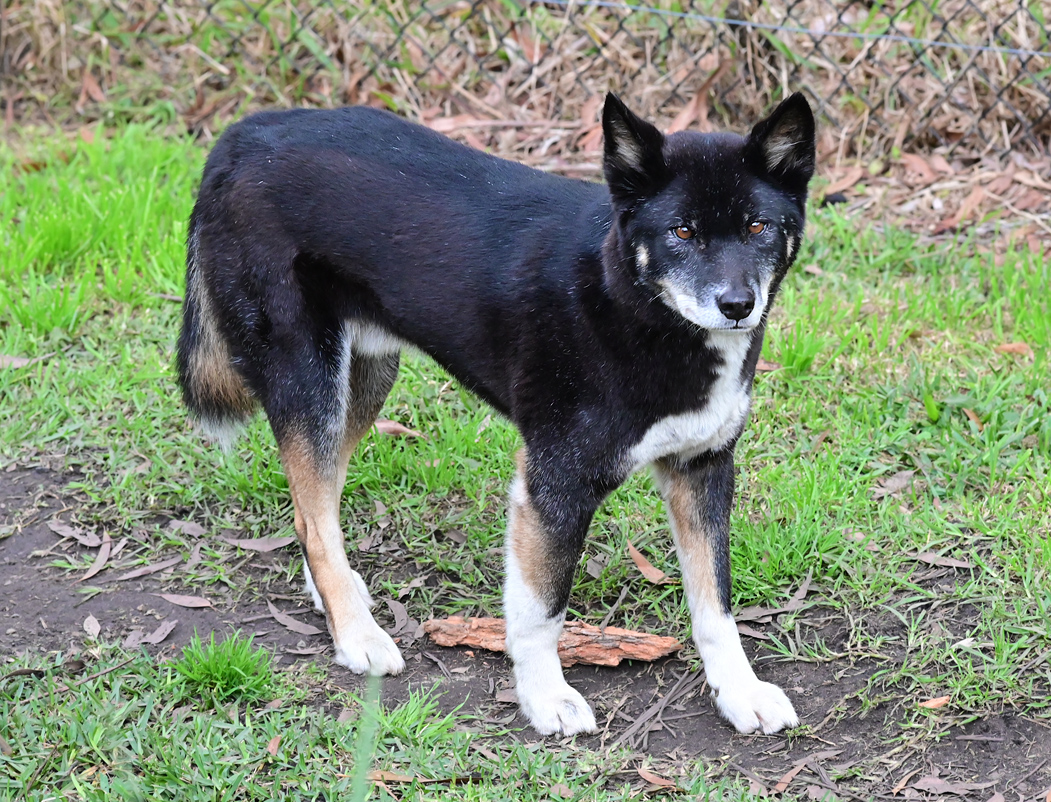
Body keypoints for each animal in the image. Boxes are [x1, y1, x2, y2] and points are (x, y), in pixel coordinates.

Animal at [176, 90, 815, 735]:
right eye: (682, 231)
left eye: (757, 226)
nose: (737, 304)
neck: (633, 305)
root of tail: (245, 133)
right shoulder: (555, 484)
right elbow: (542, 612)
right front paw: (545, 697)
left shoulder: (702, 469)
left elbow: (716, 605)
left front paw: (740, 691)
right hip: (311, 380)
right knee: (313, 518)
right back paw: (356, 633)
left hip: (363, 380)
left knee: (315, 507)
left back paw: (338, 598)